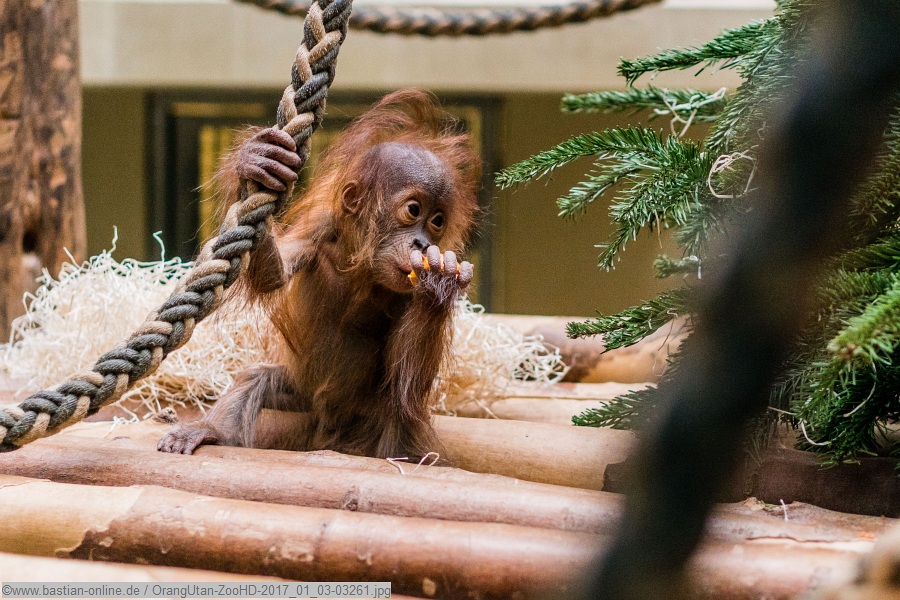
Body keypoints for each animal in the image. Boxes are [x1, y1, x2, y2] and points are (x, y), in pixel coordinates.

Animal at [157, 89, 481, 460]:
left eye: (437, 221)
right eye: (414, 210)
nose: (423, 243)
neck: (363, 268)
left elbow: (405, 386)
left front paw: (441, 283)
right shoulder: (320, 229)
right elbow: (274, 276)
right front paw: (255, 160)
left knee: (396, 415)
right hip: (301, 393)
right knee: (255, 378)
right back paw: (212, 432)